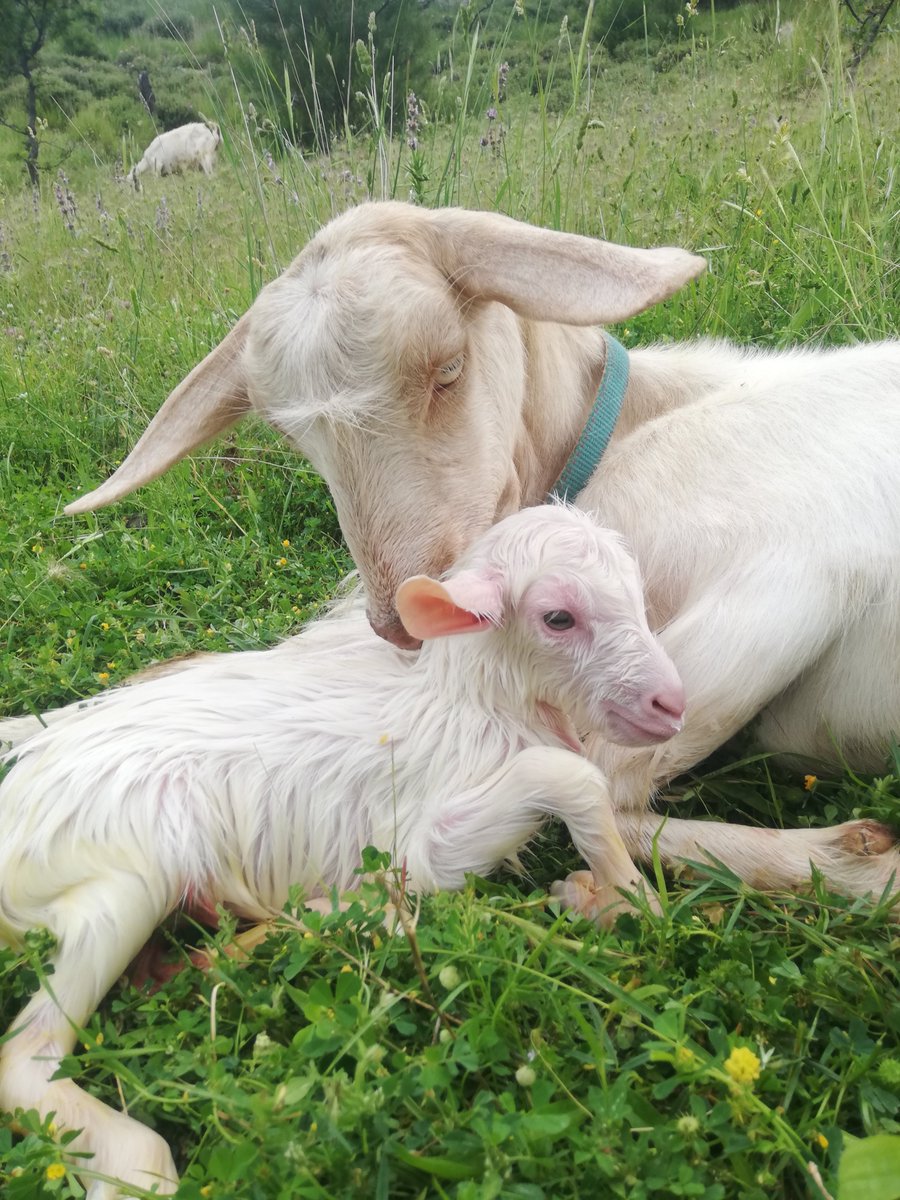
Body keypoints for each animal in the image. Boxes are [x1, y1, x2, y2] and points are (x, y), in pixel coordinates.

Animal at [0, 506, 681, 1200]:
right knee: (26, 1060)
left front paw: (591, 895)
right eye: (558, 618)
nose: (671, 704)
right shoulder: (423, 838)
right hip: (126, 876)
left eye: (636, 593)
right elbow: (569, 776)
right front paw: (632, 903)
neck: (467, 706)